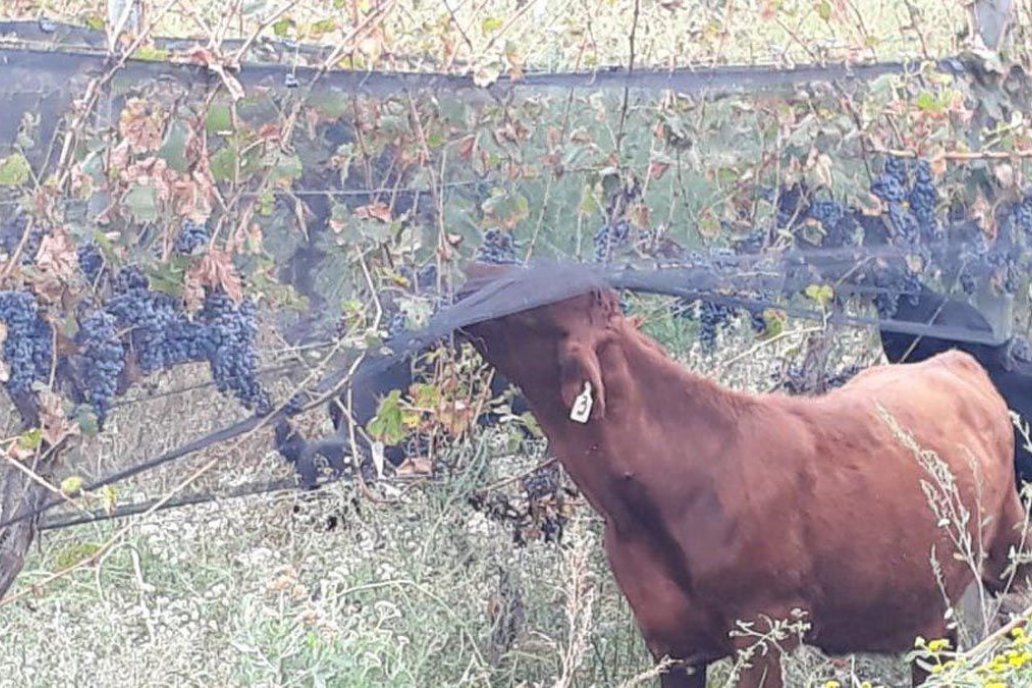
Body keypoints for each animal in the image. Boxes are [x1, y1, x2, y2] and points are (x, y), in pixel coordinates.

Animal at [460, 261, 1032, 688]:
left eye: (534, 298)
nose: (471, 277)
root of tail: (952, 361)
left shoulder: (764, 630)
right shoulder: (670, 645)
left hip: (1011, 552)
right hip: (931, 615)